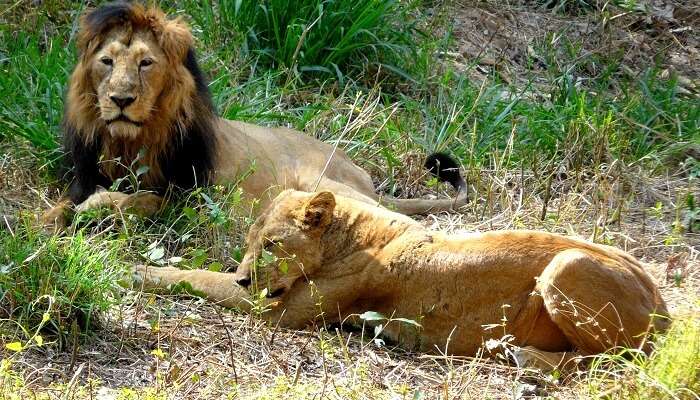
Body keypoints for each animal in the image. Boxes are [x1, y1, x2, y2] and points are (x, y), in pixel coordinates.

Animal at [41, 1, 462, 228]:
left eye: (146, 63)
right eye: (107, 61)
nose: (121, 99)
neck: (130, 143)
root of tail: (364, 176)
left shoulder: (187, 200)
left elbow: (136, 200)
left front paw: (97, 207)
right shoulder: (83, 175)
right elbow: (59, 207)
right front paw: (41, 228)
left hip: (322, 182)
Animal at [135, 190, 668, 360]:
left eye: (272, 245)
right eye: (249, 242)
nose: (248, 278)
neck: (350, 232)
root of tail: (664, 306)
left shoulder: (282, 313)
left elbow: (199, 277)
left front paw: (133, 268)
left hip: (567, 265)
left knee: (609, 360)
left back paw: (525, 357)